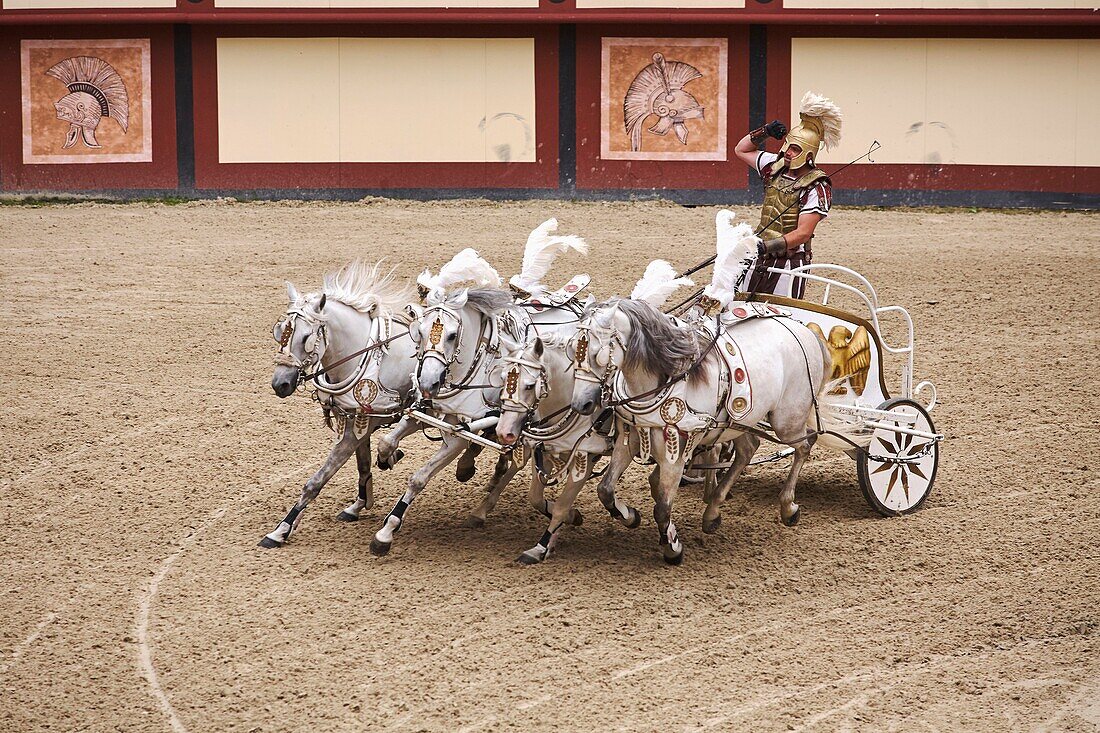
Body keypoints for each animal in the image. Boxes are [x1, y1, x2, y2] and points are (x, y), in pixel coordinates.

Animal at [567, 212, 831, 563]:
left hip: (786, 419)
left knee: (804, 445)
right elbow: (605, 490)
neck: (664, 379)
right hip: (743, 418)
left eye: (597, 352)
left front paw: (673, 546)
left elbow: (663, 508)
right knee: (747, 450)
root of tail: (804, 329)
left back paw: (788, 506)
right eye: (572, 348)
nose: (581, 405)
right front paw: (630, 516)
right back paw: (713, 512)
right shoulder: (631, 437)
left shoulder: (677, 452)